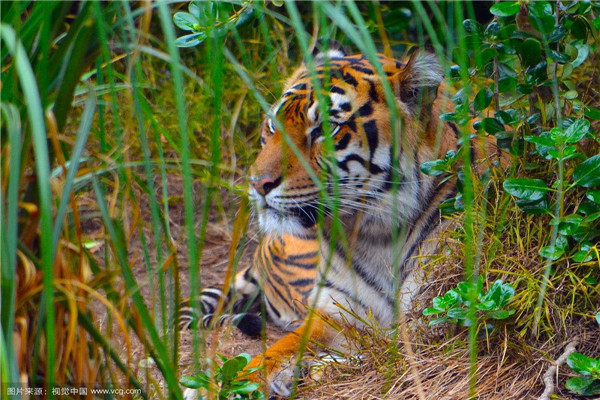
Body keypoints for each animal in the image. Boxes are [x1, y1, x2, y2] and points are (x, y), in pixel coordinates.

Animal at [182, 42, 502, 398]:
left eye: (326, 129)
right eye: (272, 126)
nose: (257, 183)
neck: (373, 237)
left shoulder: (430, 316)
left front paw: (321, 368)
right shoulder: (334, 312)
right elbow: (278, 349)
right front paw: (218, 386)